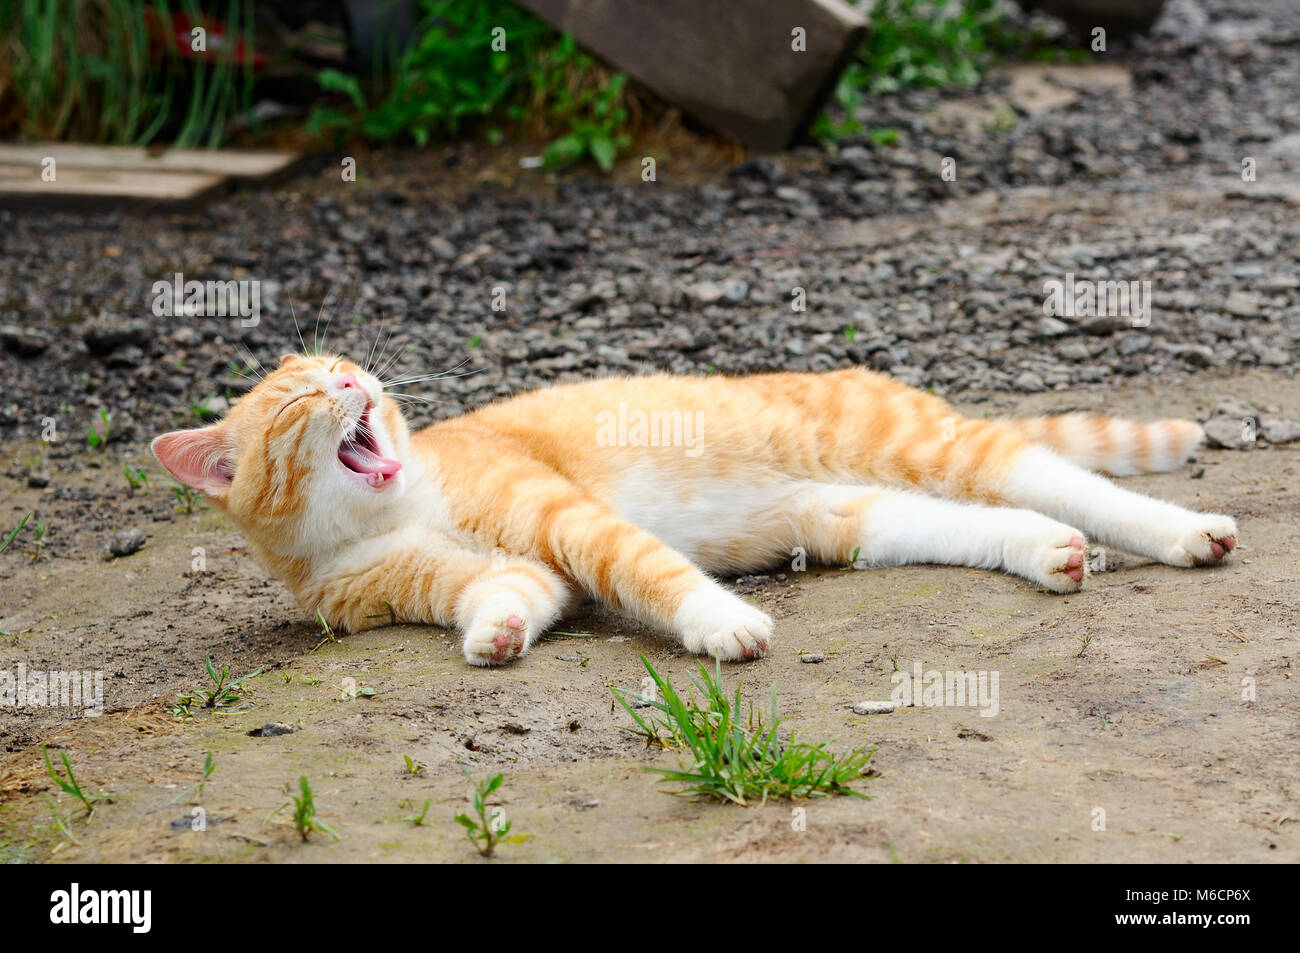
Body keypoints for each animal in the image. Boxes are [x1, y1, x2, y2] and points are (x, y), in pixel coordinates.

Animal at [152, 353, 1237, 665]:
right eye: (301, 395)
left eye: (341, 365)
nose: (355, 380)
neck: (394, 510)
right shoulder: (499, 571)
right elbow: (505, 593)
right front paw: (494, 633)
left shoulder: (567, 521)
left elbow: (647, 567)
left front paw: (722, 623)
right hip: (860, 517)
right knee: (996, 524)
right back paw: (1051, 553)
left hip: (934, 448)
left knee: (1073, 482)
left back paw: (1184, 532)